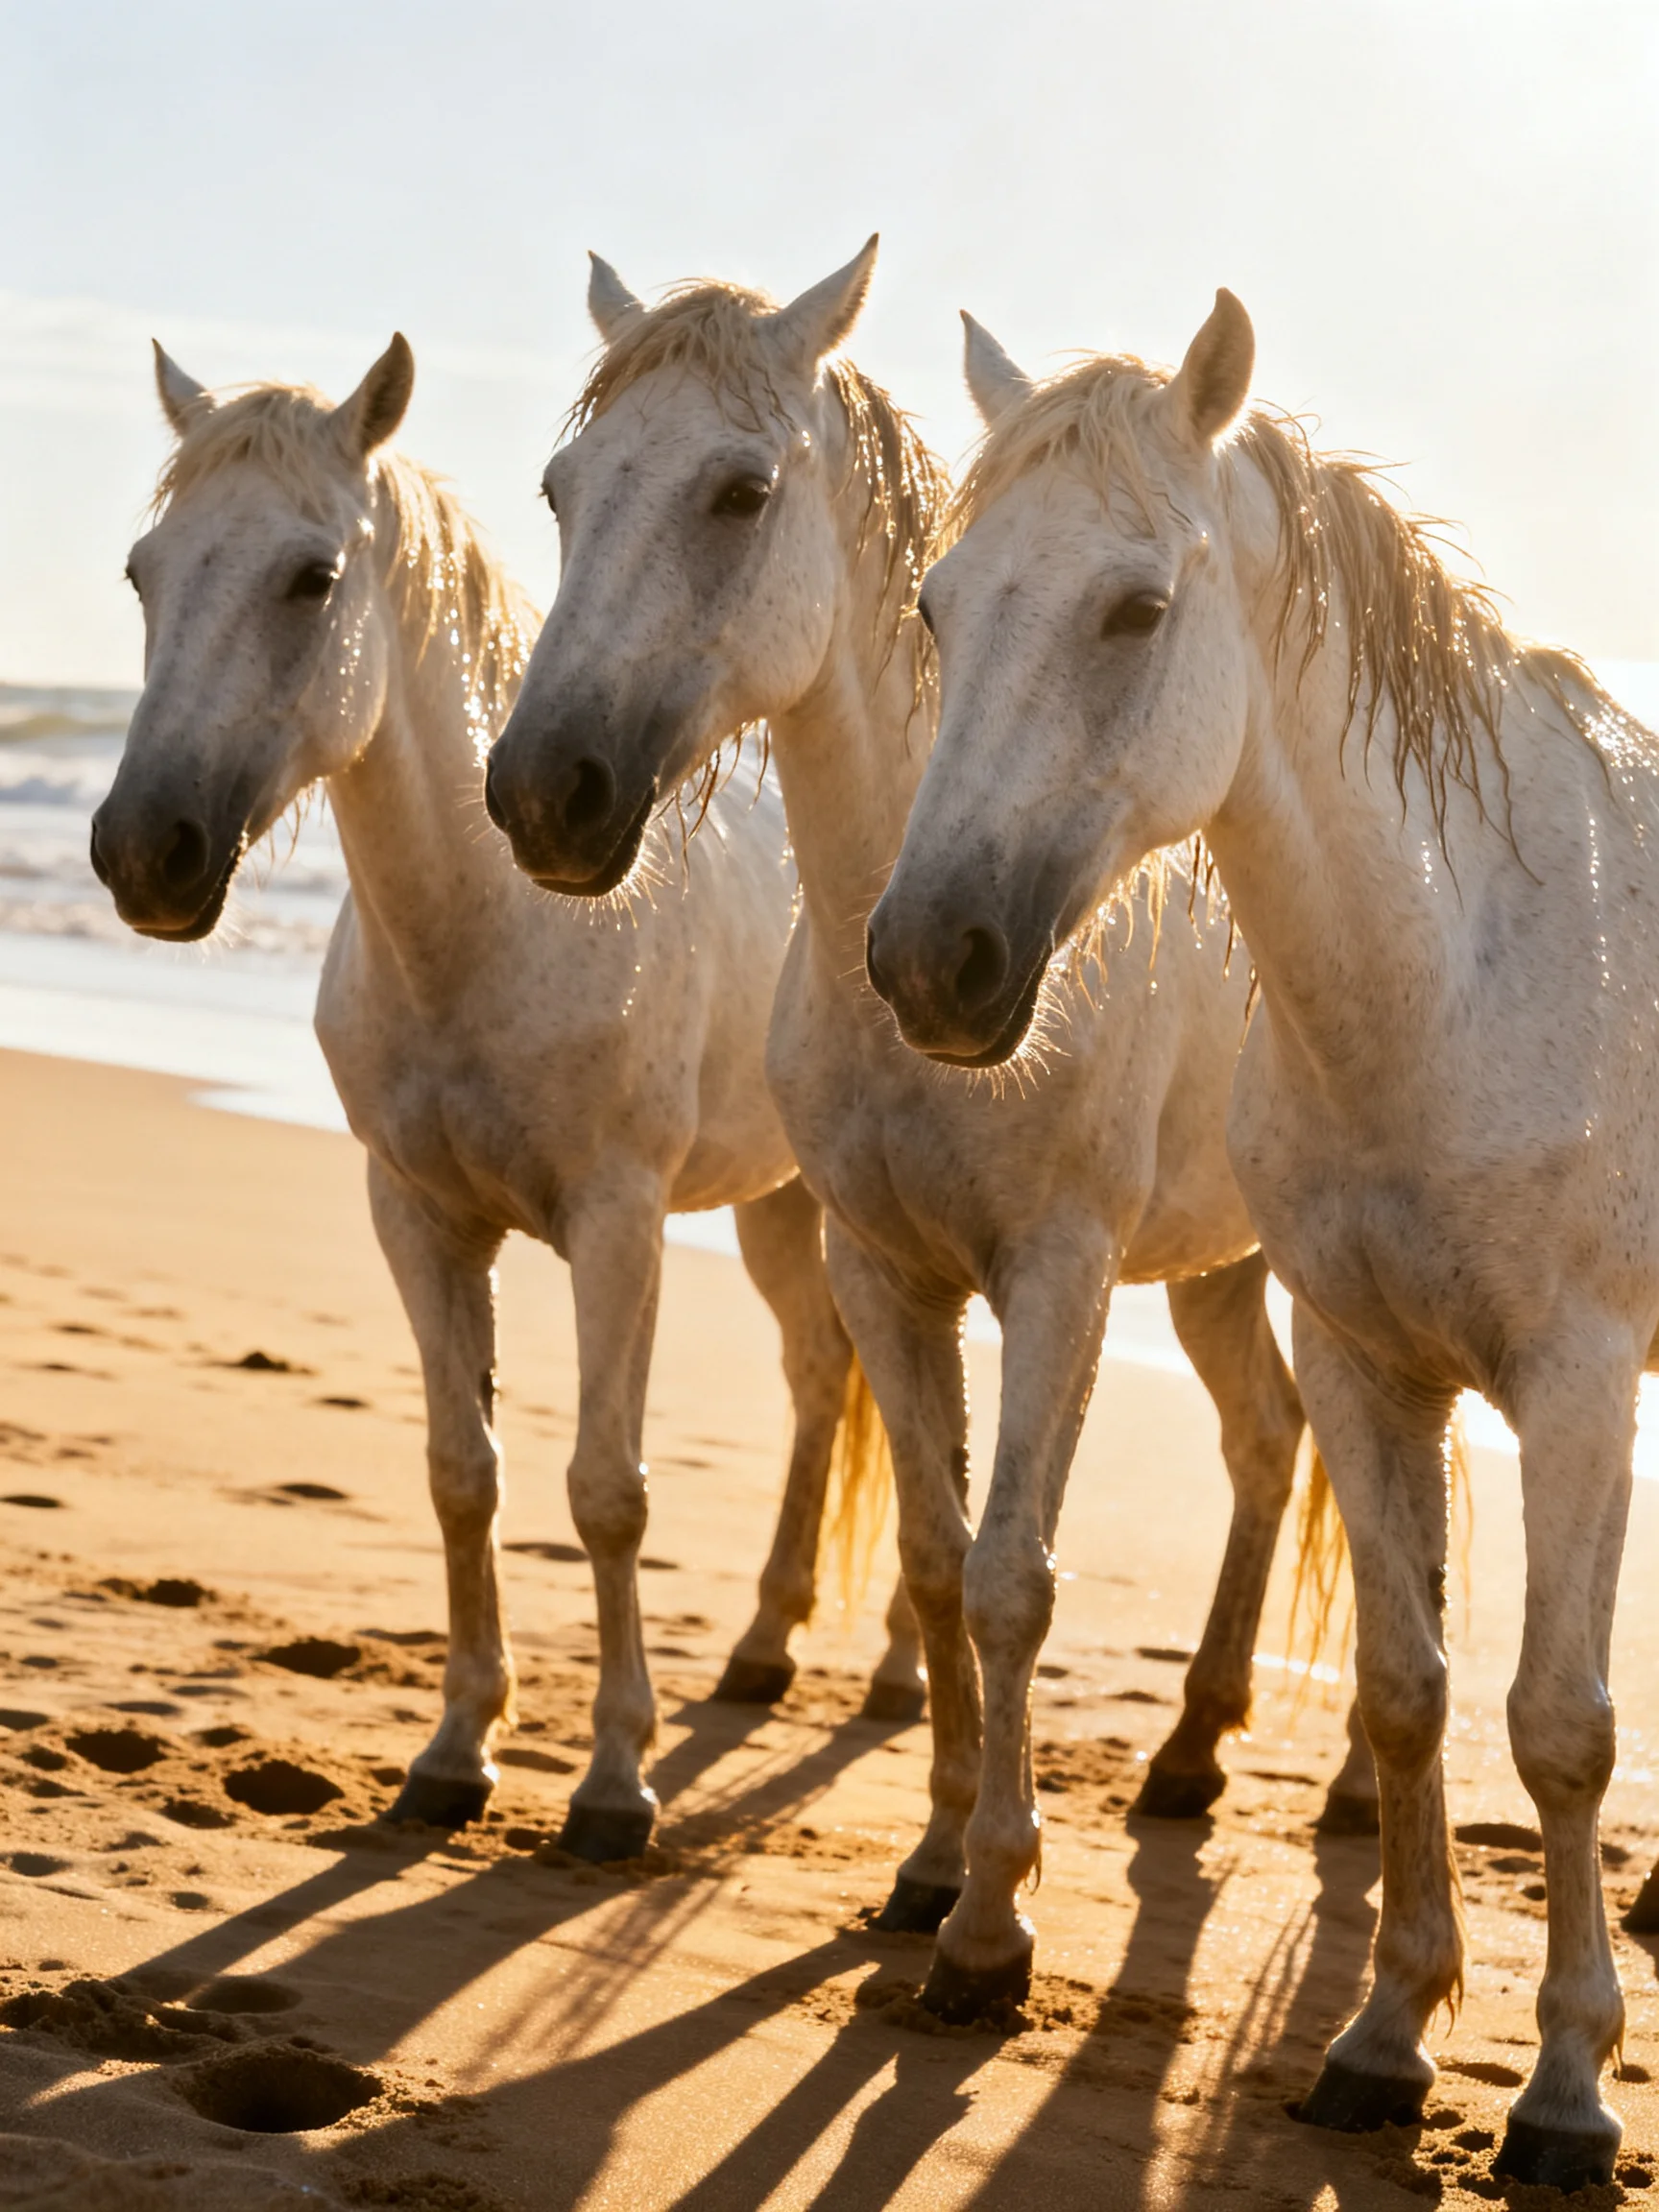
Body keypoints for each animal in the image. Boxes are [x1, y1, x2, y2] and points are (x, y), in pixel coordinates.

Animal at [88, 334, 919, 1863]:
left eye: (311, 576)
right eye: (143, 570)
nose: (142, 851)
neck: (492, 927)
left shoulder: (617, 1224)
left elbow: (606, 1490)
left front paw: (612, 1788)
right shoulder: (416, 1218)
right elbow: (460, 1473)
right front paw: (455, 1755)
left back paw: (889, 1671)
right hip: (780, 1208)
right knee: (822, 1379)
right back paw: (762, 1651)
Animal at [482, 243, 1371, 2019]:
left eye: (738, 490)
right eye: (562, 489)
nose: (545, 791)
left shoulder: (1056, 1277)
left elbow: (1015, 1575)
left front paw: (993, 1931)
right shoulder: (885, 1270)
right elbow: (939, 1556)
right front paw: (931, 1865)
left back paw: (1354, 1792)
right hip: (1215, 1272)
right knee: (1263, 1442)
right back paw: (1189, 1754)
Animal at [868, 294, 1658, 2188]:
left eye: (1136, 608)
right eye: (937, 603)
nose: (930, 961)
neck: (1458, 973)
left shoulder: (1579, 1387)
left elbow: (1559, 1722)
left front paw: (1565, 2093)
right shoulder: (1363, 1364)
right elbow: (1405, 1685)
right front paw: (1386, 2038)